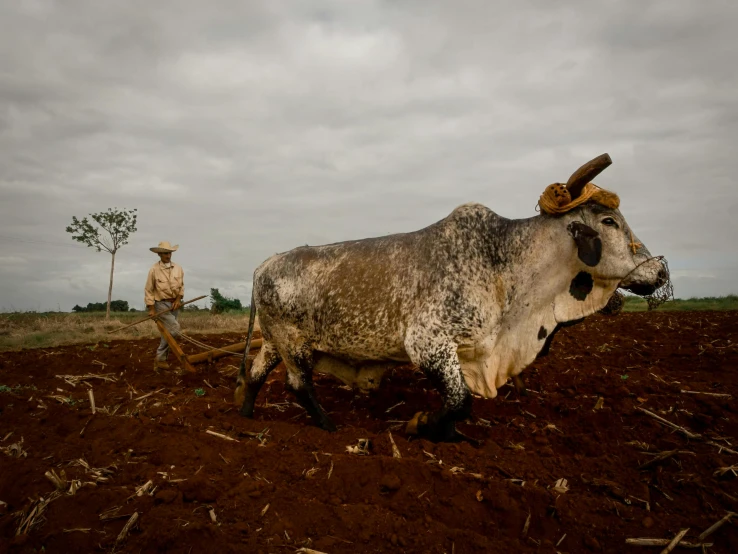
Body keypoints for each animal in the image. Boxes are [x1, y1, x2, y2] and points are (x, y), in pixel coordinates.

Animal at [233, 154, 664, 440]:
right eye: (609, 221)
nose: (660, 271)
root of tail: (265, 264)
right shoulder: (428, 343)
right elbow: (459, 401)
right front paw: (422, 425)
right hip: (293, 344)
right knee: (298, 385)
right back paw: (327, 425)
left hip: (274, 341)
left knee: (255, 374)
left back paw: (244, 416)